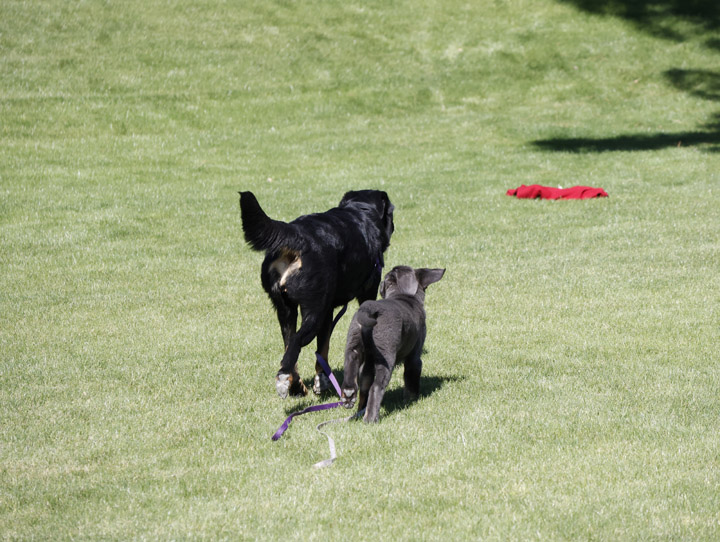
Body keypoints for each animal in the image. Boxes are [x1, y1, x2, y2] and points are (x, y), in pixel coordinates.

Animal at [240, 191, 394, 400]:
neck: (360, 210)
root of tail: (297, 235)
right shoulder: (366, 295)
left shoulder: (328, 311)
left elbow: (323, 347)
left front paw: (322, 380)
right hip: (314, 310)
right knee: (295, 343)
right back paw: (285, 378)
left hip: (287, 309)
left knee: (288, 345)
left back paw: (296, 385)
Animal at [338, 268, 444, 424]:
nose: (381, 282)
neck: (402, 296)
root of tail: (369, 309)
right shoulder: (414, 358)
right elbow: (411, 381)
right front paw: (411, 400)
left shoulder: (368, 363)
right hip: (386, 359)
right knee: (376, 387)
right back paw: (370, 419)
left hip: (353, 348)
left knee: (356, 384)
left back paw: (352, 401)